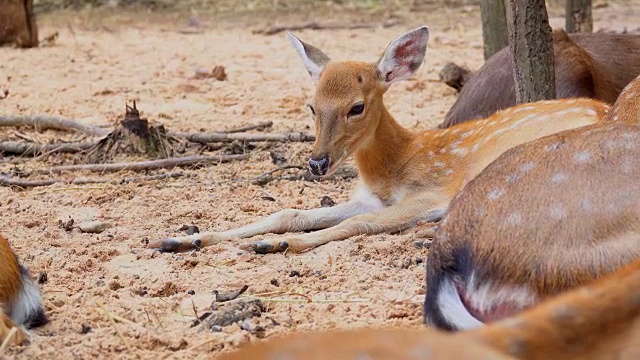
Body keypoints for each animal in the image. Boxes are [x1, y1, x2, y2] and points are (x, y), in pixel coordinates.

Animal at [150, 26, 620, 255]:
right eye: (311, 105)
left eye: (356, 106)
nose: (317, 163)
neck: (394, 166)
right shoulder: (367, 197)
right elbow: (291, 211)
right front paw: (180, 239)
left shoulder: (431, 191)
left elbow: (358, 225)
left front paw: (275, 244)